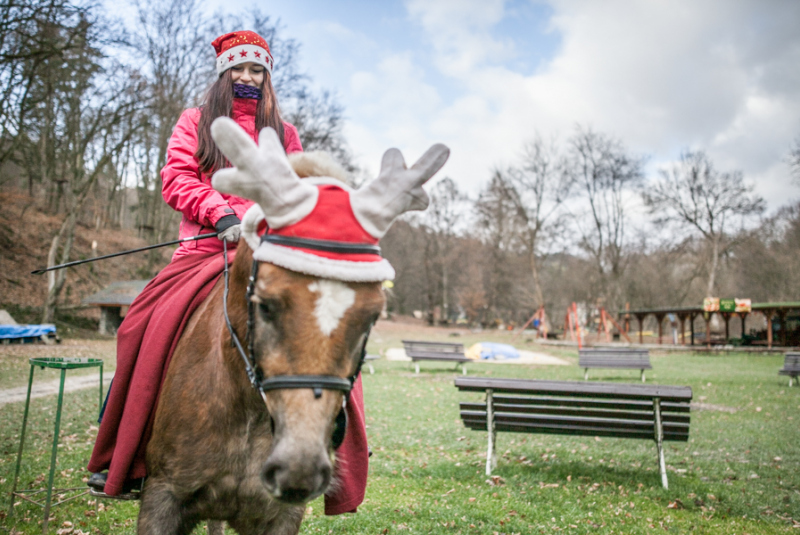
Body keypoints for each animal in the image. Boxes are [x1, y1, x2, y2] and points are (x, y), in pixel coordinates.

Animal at [138, 118, 450, 535]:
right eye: (265, 305)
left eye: (371, 317)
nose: (298, 469)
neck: (247, 411)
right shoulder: (162, 498)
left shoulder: (281, 517)